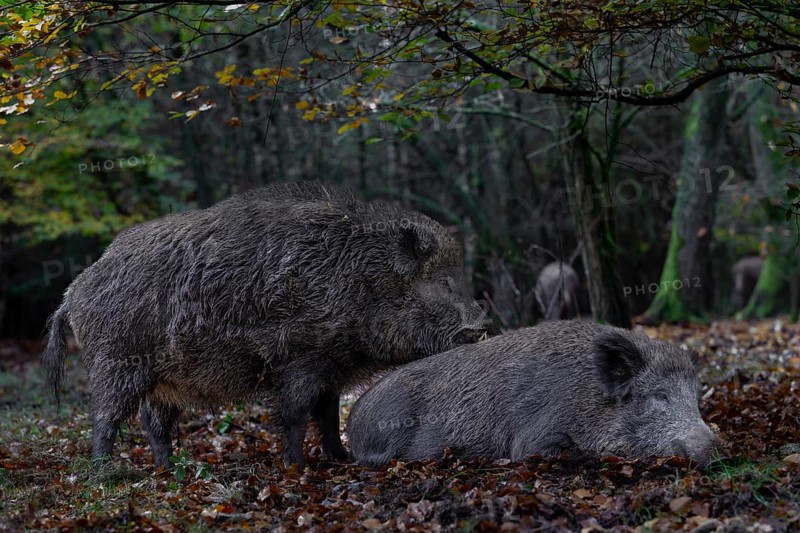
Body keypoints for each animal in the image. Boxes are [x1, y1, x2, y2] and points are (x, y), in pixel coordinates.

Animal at [43, 182, 493, 469]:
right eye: (442, 281)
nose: (482, 327)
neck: (361, 281)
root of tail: (73, 292)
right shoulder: (301, 357)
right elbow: (295, 415)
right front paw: (295, 467)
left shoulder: (332, 367)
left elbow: (328, 416)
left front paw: (341, 459)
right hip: (117, 362)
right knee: (106, 417)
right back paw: (106, 473)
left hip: (162, 379)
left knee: (153, 424)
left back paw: (169, 470)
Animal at [348, 320, 719, 467]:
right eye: (659, 396)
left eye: (694, 397)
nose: (715, 448)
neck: (589, 397)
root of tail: (353, 414)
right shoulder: (533, 439)